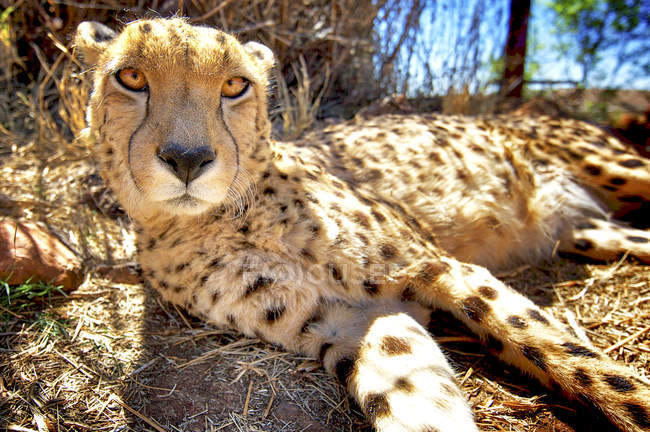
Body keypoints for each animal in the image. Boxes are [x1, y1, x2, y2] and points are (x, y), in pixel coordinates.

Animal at [77, 18, 648, 432]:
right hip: (585, 231)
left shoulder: (442, 267)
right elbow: (414, 397)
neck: (217, 220)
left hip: (619, 171)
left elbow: (565, 355)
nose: (188, 158)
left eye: (235, 86)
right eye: (131, 78)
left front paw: (634, 404)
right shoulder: (343, 321)